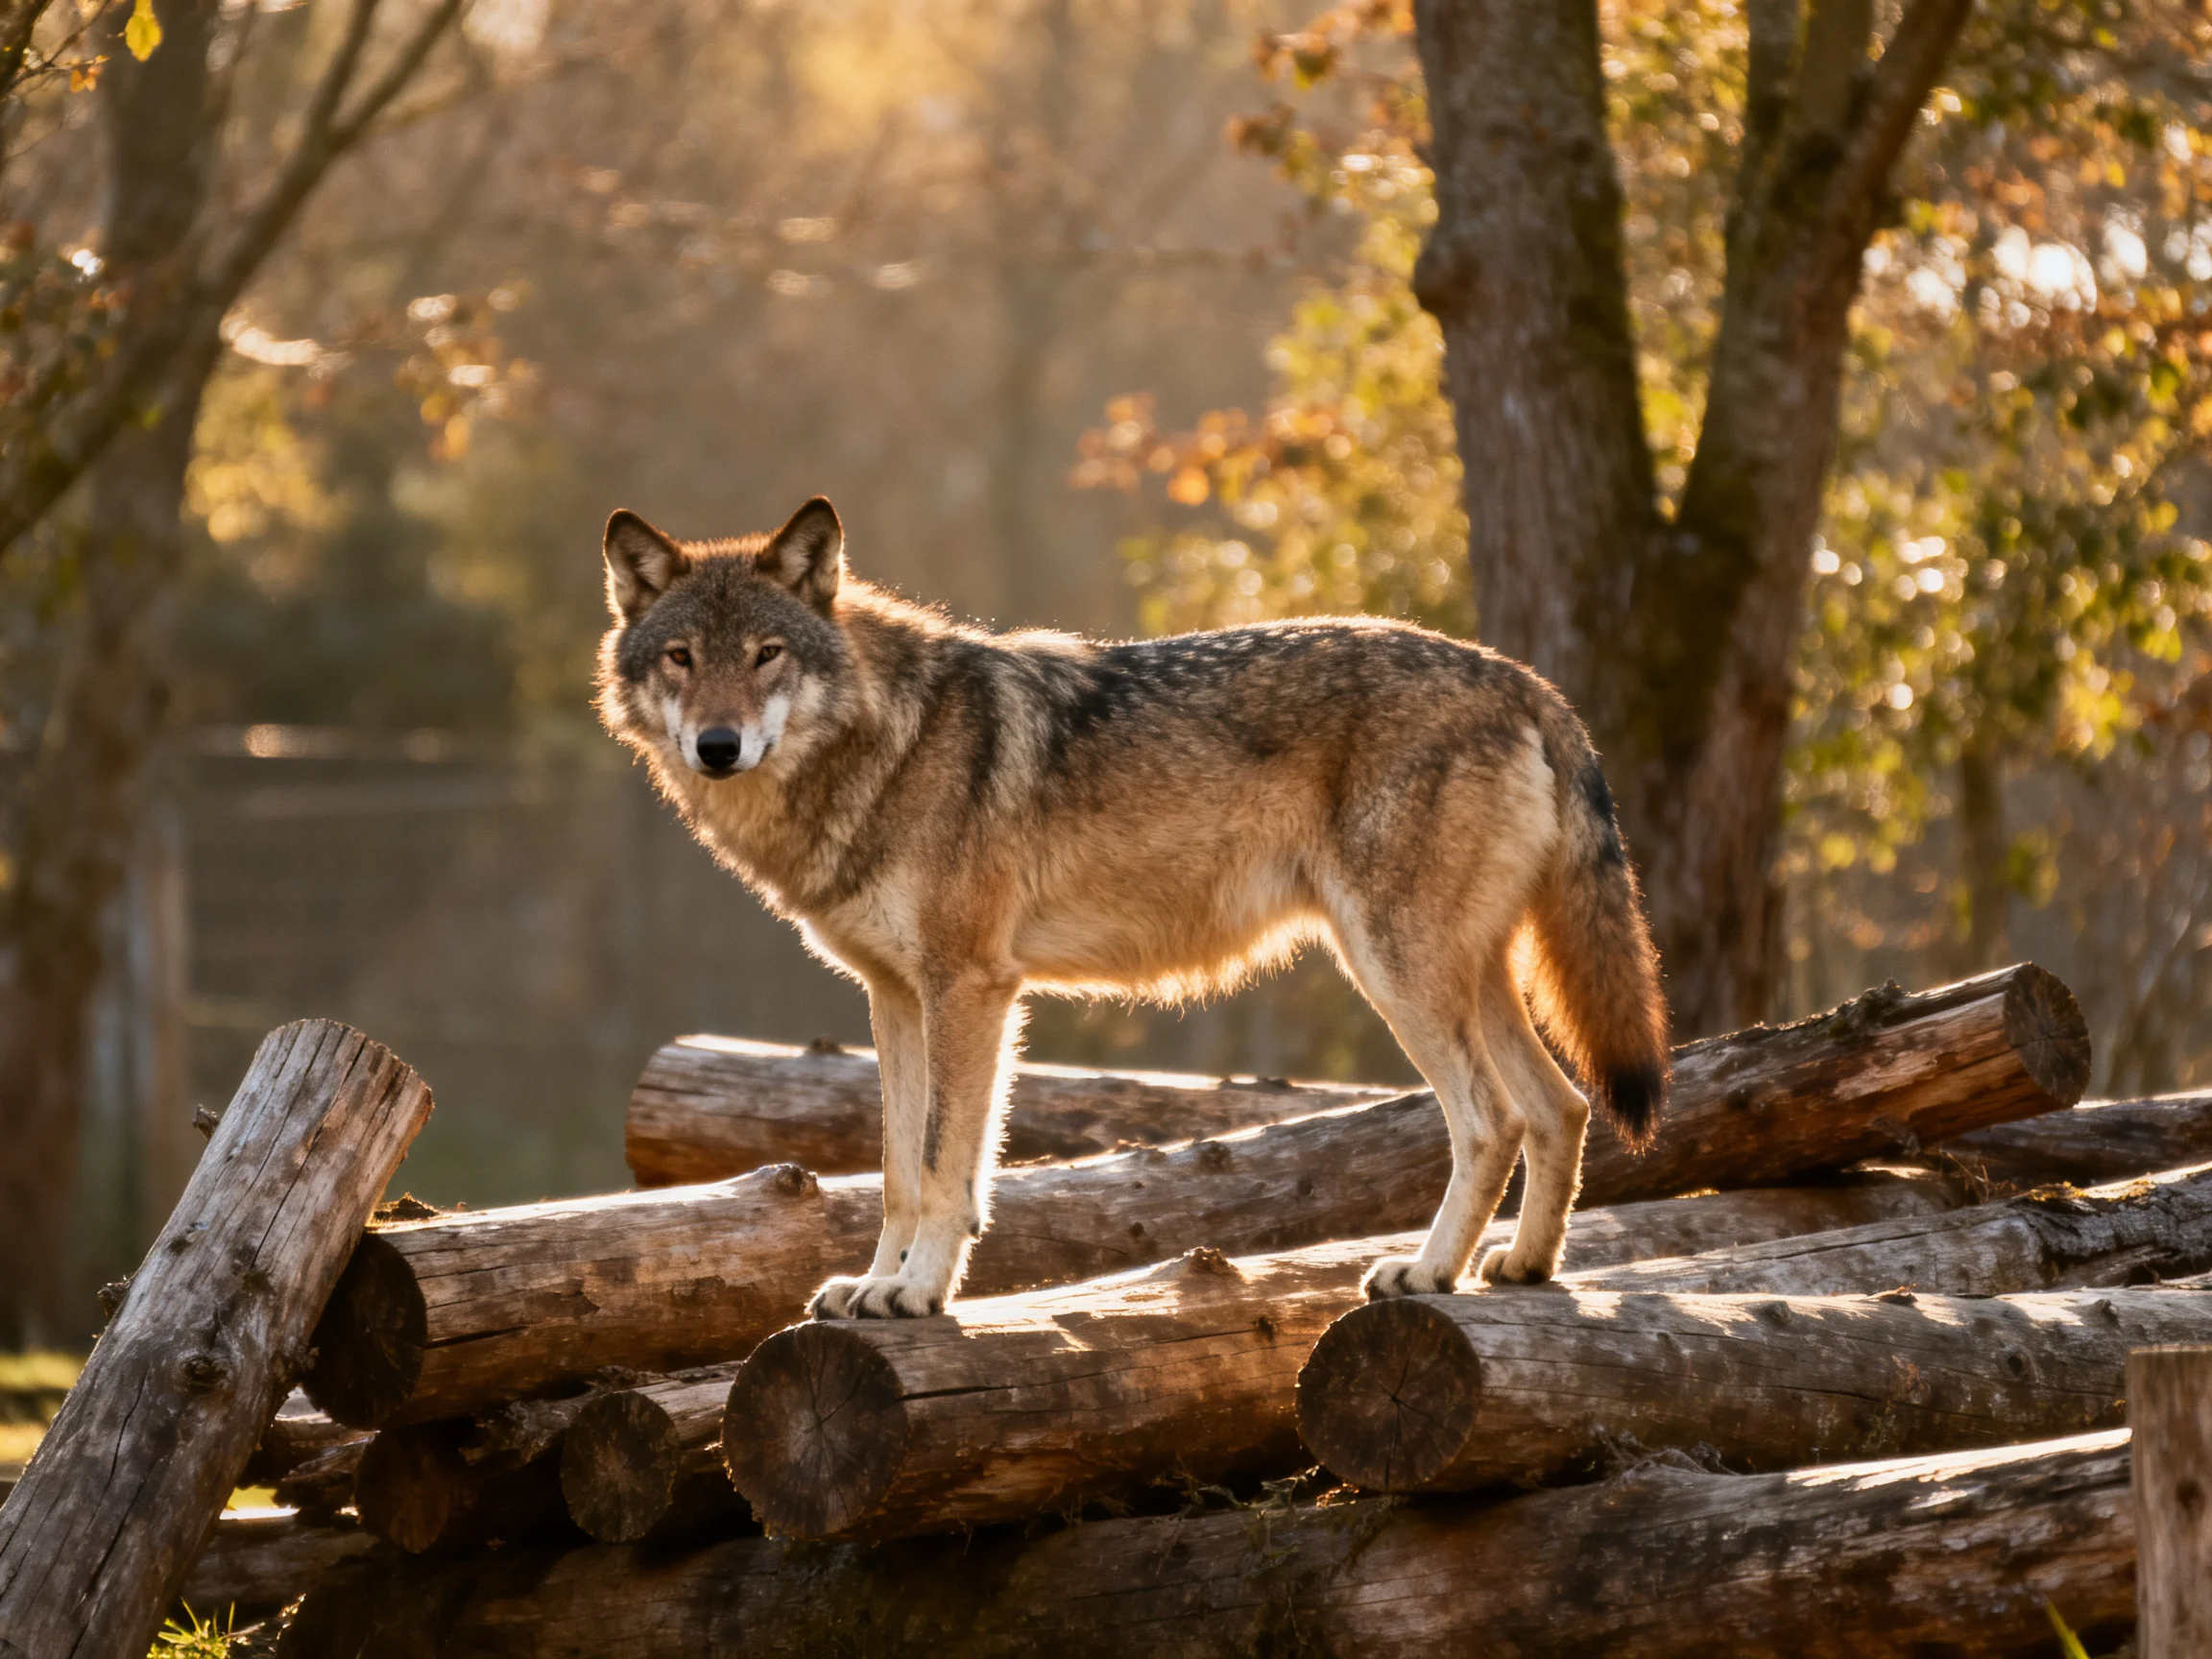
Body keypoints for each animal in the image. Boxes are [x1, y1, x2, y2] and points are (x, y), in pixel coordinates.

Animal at [597, 496, 1669, 1319]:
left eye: (767, 654)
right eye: (682, 657)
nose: (719, 746)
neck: (887, 744)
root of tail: (1524, 681)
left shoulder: (971, 989)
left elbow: (947, 1166)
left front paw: (919, 1293)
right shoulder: (895, 997)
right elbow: (900, 1169)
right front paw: (873, 1283)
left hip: (1397, 972)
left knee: (1491, 1118)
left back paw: (1428, 1272)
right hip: (1464, 977)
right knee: (1563, 1106)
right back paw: (1523, 1268)